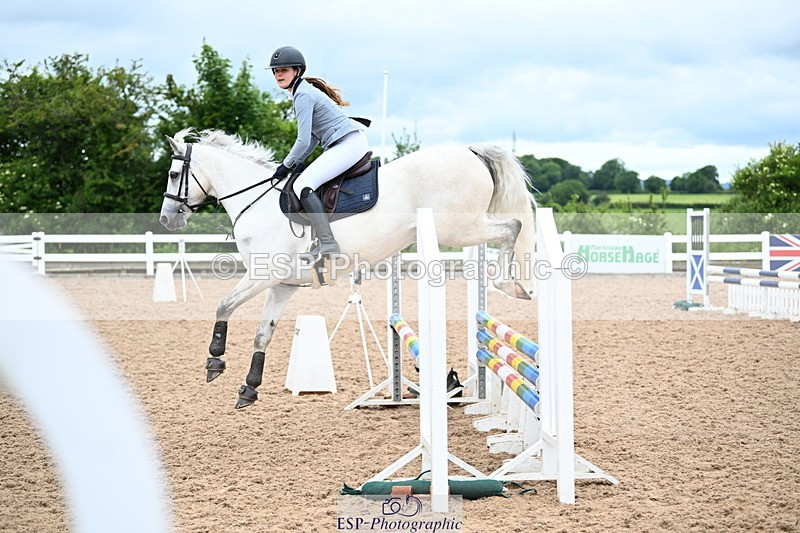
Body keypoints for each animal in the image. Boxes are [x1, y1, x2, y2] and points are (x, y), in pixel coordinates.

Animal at [158, 128, 536, 409]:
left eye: (174, 174)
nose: (167, 219)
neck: (257, 203)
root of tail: (470, 151)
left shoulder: (262, 275)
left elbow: (223, 305)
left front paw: (214, 361)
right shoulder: (281, 286)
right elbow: (263, 332)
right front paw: (250, 388)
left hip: (457, 228)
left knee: (513, 226)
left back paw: (510, 285)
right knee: (511, 228)